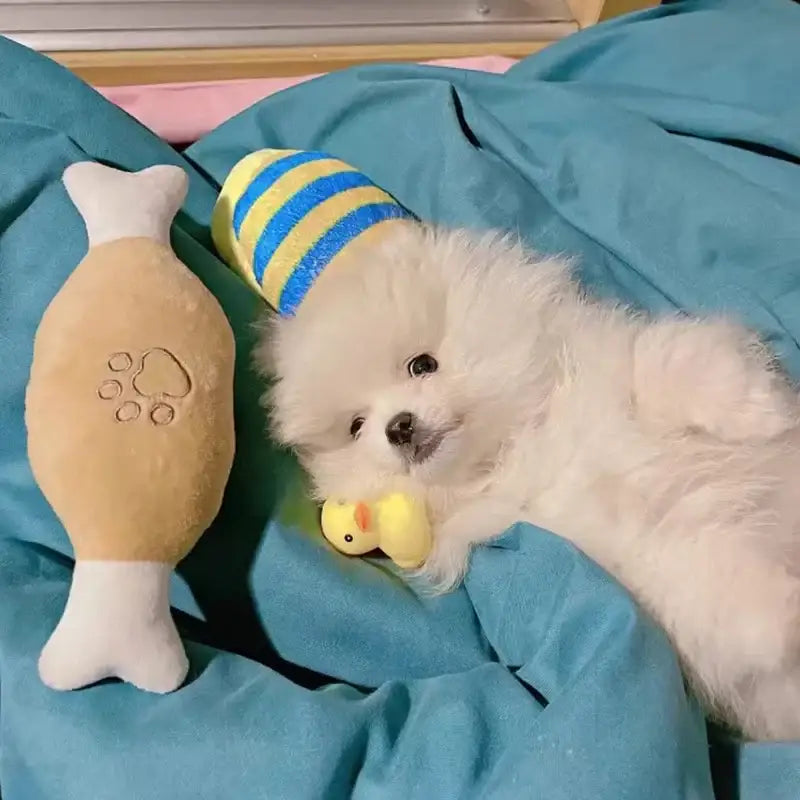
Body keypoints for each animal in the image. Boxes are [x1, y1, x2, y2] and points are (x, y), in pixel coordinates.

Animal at [260, 222, 800, 740]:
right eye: (356, 426)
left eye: (422, 365)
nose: (399, 426)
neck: (515, 453)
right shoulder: (635, 559)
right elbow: (717, 591)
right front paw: (787, 607)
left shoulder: (617, 369)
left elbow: (676, 364)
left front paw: (762, 410)